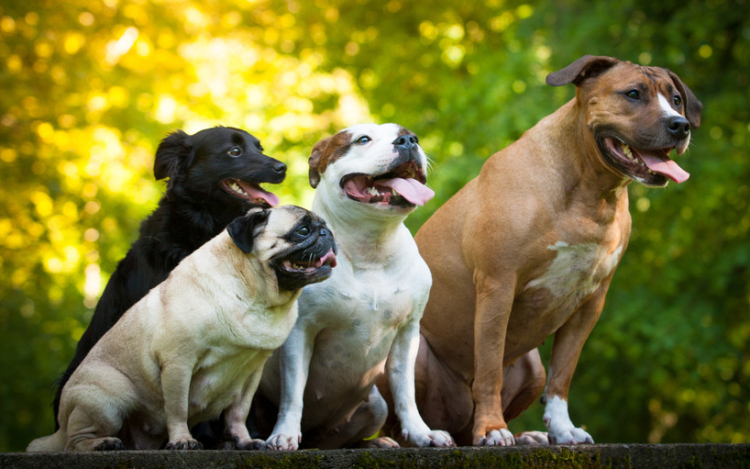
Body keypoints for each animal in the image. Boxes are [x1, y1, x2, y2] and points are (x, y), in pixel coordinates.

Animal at [27, 207, 336, 452]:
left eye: (323, 226)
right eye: (303, 230)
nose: (327, 233)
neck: (255, 295)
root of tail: (61, 426)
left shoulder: (252, 372)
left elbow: (238, 412)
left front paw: (244, 441)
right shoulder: (178, 362)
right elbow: (177, 408)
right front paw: (182, 440)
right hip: (108, 400)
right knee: (75, 441)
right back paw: (102, 443)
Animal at [258, 122, 456, 448]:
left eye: (408, 134)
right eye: (363, 139)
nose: (408, 140)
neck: (372, 248)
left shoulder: (407, 333)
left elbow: (405, 389)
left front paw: (421, 433)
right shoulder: (300, 332)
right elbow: (293, 392)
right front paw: (284, 433)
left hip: (375, 405)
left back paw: (376, 442)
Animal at [400, 55, 704, 446]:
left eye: (676, 99)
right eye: (633, 94)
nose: (680, 125)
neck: (590, 191)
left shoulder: (590, 302)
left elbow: (563, 374)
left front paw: (562, 429)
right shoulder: (497, 287)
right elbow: (489, 369)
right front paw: (494, 429)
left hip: (532, 367)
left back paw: (527, 435)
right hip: (413, 352)